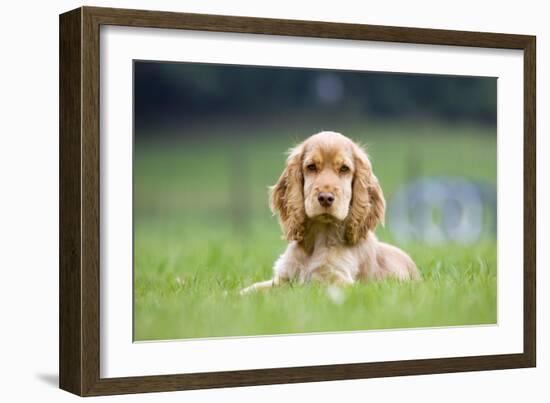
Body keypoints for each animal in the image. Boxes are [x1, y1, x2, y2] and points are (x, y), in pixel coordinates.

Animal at [243, 131, 422, 296]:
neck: (319, 238)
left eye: (344, 169)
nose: (325, 198)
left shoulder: (337, 279)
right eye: (311, 167)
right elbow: (253, 289)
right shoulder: (284, 278)